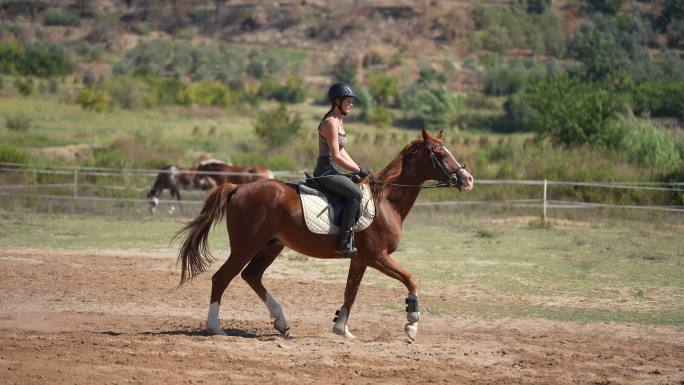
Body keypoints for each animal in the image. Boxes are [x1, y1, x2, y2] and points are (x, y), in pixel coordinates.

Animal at [176, 129, 472, 340]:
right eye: (440, 154)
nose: (467, 179)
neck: (387, 202)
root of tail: (238, 187)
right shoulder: (378, 257)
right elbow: (410, 279)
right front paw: (411, 323)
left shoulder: (360, 259)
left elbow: (351, 292)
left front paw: (342, 328)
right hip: (246, 246)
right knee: (222, 277)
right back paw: (215, 328)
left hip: (271, 245)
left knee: (252, 276)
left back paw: (281, 322)